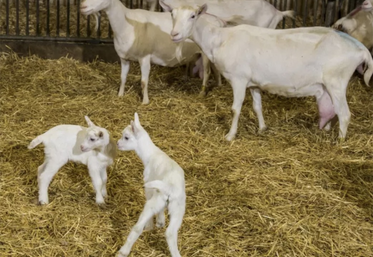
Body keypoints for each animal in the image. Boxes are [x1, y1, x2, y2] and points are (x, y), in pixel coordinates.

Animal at [80, 0, 214, 103]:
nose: (82, 6)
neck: (125, 25)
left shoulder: (144, 57)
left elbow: (144, 82)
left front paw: (145, 102)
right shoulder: (124, 58)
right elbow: (123, 78)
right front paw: (120, 95)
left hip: (205, 54)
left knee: (207, 72)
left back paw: (202, 93)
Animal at [164, 2, 372, 140]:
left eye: (193, 16)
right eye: (172, 14)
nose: (174, 35)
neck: (220, 39)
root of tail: (360, 49)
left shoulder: (239, 79)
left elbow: (235, 109)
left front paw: (230, 135)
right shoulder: (253, 83)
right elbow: (257, 106)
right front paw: (262, 128)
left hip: (337, 81)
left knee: (345, 114)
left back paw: (340, 142)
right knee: (334, 111)